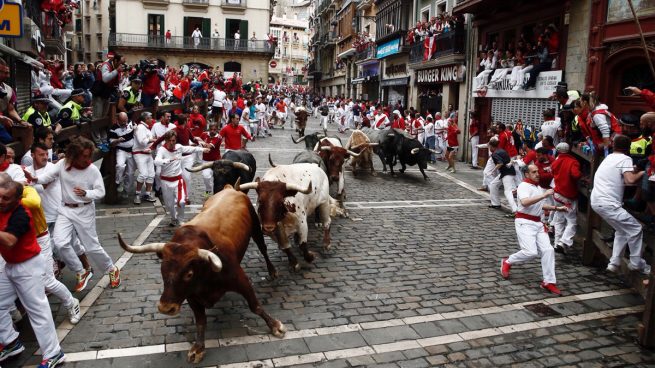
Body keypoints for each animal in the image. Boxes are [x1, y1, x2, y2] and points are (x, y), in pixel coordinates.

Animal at [116, 185, 284, 364]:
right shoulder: (191, 296)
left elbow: (255, 306)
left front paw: (275, 325)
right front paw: (198, 348)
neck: (206, 274)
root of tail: (231, 188)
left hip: (256, 229)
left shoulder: (241, 280)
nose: (166, 308)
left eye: (189, 274)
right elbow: (201, 322)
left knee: (263, 249)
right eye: (162, 270)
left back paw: (272, 270)